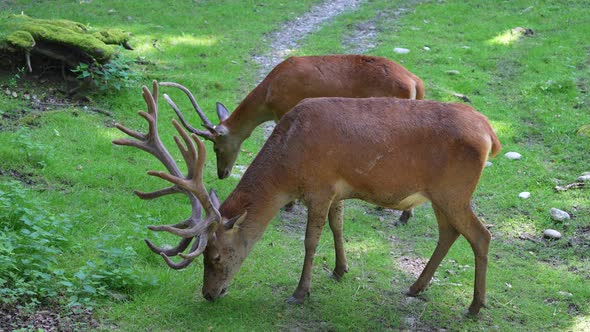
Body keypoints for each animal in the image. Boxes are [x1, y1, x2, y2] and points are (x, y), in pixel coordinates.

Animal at [117, 81, 504, 316]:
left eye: (214, 256)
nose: (209, 294)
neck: (288, 167)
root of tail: (490, 134)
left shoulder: (319, 186)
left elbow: (310, 240)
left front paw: (300, 292)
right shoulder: (337, 189)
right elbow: (337, 226)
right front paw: (340, 270)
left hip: (455, 190)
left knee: (481, 235)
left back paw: (475, 305)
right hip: (439, 195)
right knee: (449, 233)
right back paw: (415, 287)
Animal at [160, 54, 424, 223]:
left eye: (216, 146)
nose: (222, 173)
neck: (269, 94)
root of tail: (415, 81)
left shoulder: (285, 110)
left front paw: (289, 204)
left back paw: (401, 215)